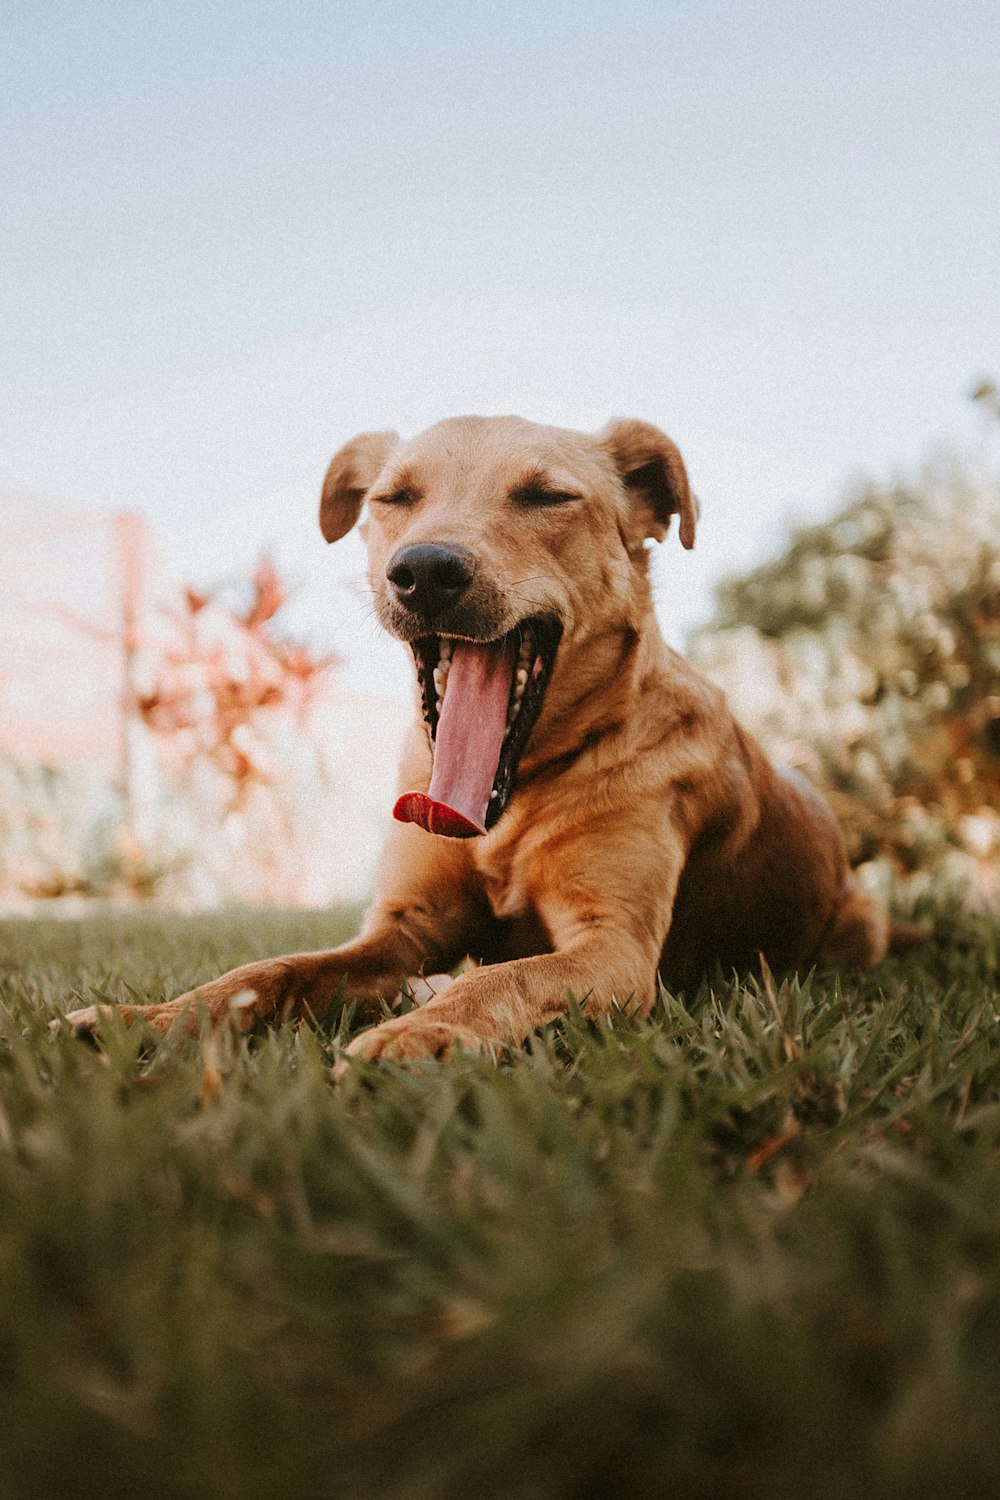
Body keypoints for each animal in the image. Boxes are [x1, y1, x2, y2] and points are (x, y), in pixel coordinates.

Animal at [70, 417, 899, 1062]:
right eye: (394, 498)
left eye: (545, 496)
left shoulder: (615, 948)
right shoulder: (402, 929)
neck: (513, 798)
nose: (424, 571)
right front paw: (153, 1017)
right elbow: (265, 972)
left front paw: (421, 1033)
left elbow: (507, 976)